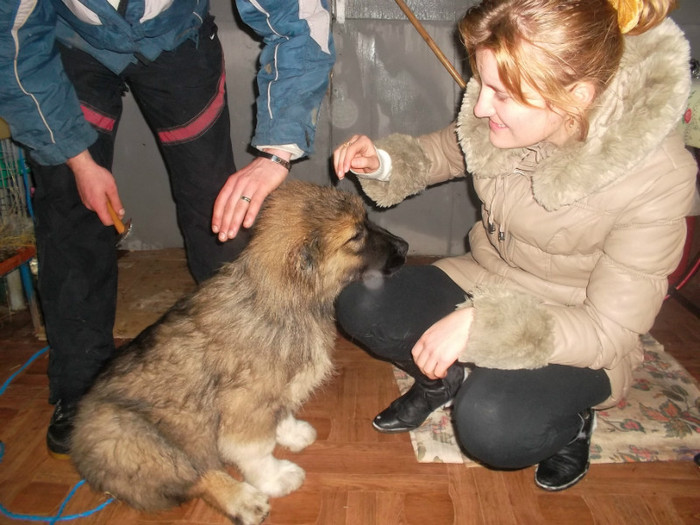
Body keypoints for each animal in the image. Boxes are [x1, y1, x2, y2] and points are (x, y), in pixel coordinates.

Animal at [69, 181, 410, 524]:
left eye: (366, 220)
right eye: (356, 235)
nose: (406, 247)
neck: (287, 300)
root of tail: (80, 450)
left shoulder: (275, 389)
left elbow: (281, 412)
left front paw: (291, 433)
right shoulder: (245, 403)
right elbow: (255, 450)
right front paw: (275, 477)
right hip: (138, 439)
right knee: (196, 474)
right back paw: (243, 498)